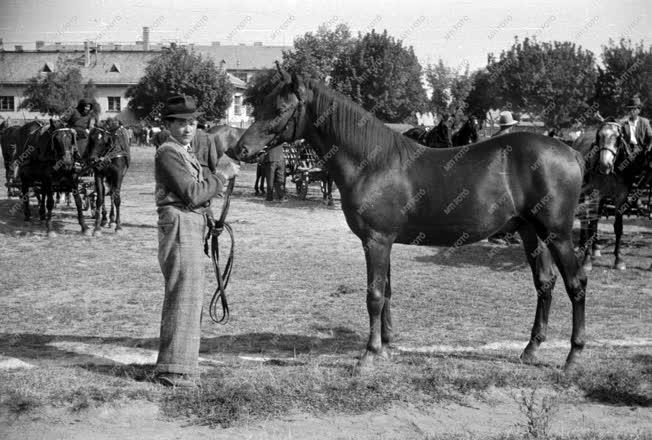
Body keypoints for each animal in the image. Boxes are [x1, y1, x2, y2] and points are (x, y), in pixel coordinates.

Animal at [236, 69, 592, 372]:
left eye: (280, 108)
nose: (239, 149)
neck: (373, 163)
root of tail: (571, 152)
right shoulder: (383, 241)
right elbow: (387, 292)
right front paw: (386, 347)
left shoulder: (377, 240)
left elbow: (374, 295)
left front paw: (369, 356)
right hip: (531, 232)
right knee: (544, 283)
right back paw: (531, 350)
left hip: (557, 234)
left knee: (576, 283)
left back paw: (573, 357)